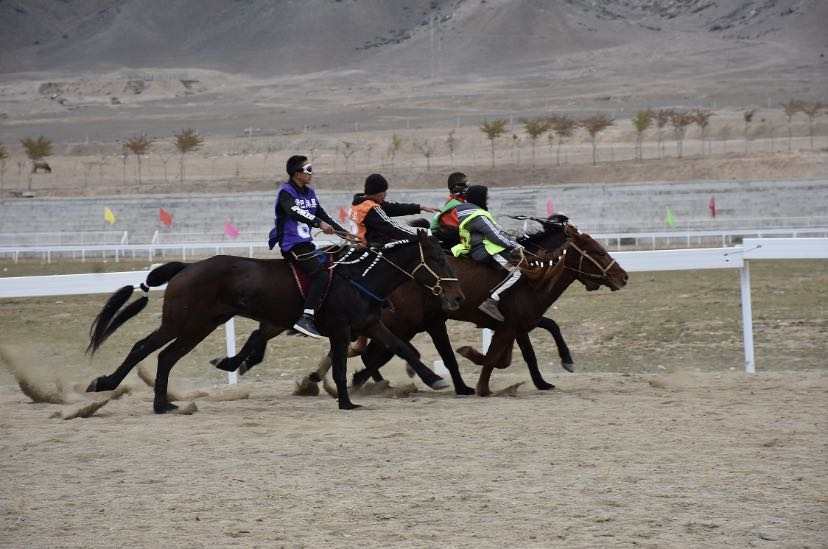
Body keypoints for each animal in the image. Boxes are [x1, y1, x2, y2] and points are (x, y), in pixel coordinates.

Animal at [86, 229, 462, 414]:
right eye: (438, 258)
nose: (455, 298)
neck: (359, 277)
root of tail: (187, 268)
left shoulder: (370, 325)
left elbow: (405, 349)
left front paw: (435, 379)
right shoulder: (340, 332)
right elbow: (341, 366)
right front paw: (346, 402)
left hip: (195, 325)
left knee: (156, 352)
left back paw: (152, 400)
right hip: (187, 324)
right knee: (152, 351)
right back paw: (125, 391)